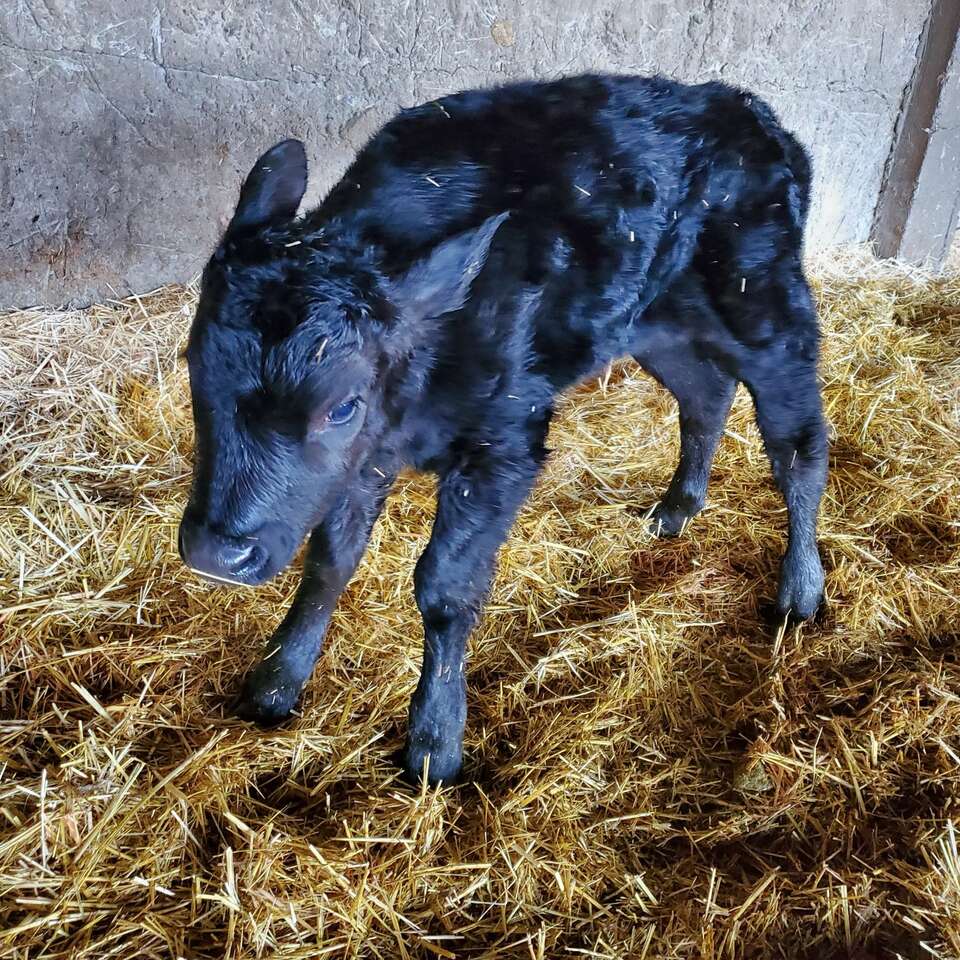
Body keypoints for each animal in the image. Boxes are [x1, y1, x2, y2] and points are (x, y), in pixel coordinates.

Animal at [178, 74, 827, 785]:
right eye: (193, 364)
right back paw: (678, 507)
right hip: (657, 322)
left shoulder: (503, 448)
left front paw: (435, 742)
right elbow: (329, 559)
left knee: (798, 446)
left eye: (342, 406)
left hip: (765, 309)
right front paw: (277, 681)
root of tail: (747, 108)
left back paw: (800, 589)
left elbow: (443, 587)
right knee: (706, 395)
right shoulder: (369, 457)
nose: (216, 555)